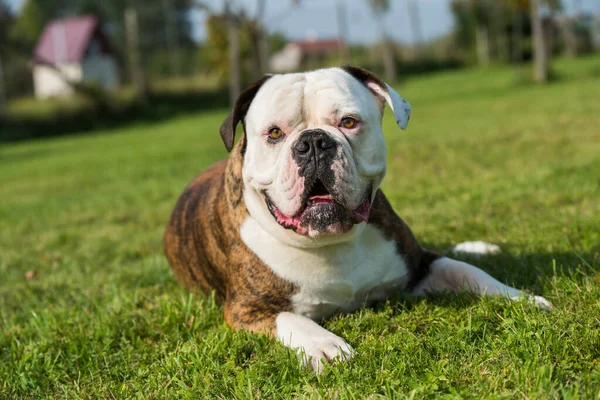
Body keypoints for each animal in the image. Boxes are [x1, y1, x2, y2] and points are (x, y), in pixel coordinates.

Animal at [163, 65, 548, 372]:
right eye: (274, 133)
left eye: (348, 122)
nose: (314, 142)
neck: (332, 241)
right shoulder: (245, 310)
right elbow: (289, 318)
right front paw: (325, 345)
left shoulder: (419, 265)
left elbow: (467, 272)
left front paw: (520, 297)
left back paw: (480, 246)